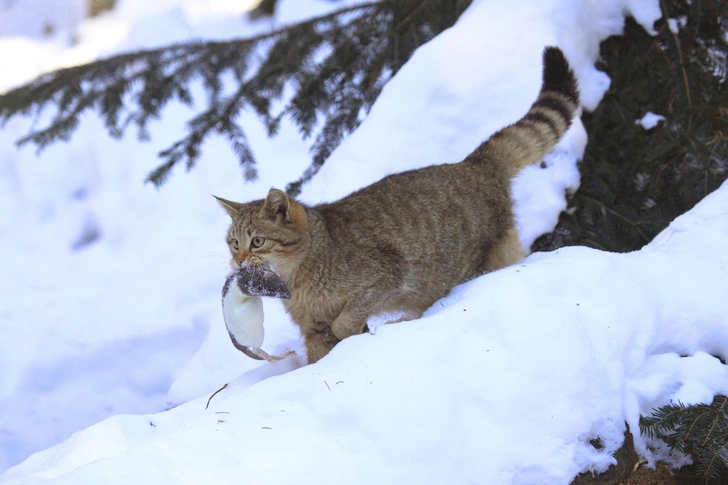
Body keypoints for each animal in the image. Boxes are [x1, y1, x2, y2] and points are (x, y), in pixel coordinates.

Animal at [215, 46, 580, 364]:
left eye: (257, 241)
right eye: (233, 243)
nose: (239, 260)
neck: (301, 274)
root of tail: (473, 163)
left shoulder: (383, 277)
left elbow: (345, 322)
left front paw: (357, 334)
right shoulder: (313, 326)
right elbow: (321, 354)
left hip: (481, 263)